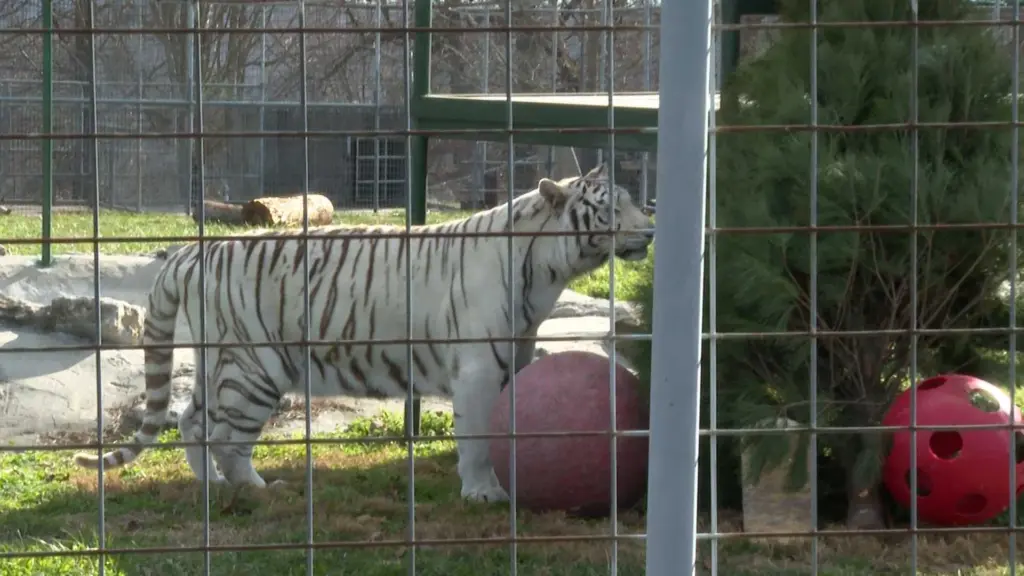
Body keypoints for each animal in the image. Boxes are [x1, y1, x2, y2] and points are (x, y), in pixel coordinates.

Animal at [72, 163, 654, 503]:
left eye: (631, 199)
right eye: (610, 208)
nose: (649, 229)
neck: (549, 269)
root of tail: (193, 252)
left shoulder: (516, 354)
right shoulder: (477, 368)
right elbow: (477, 438)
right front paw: (483, 493)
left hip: (219, 362)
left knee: (192, 420)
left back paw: (210, 487)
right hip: (256, 366)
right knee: (222, 434)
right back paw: (258, 490)